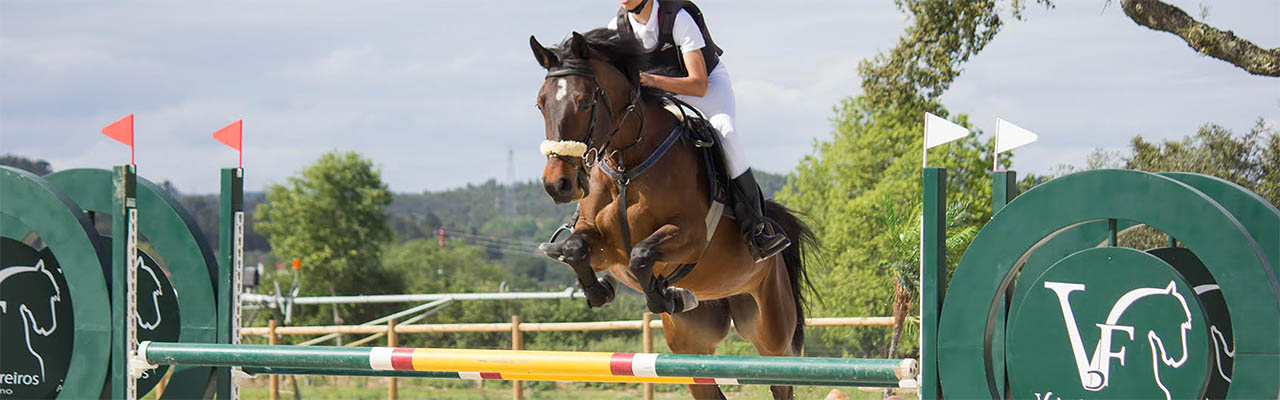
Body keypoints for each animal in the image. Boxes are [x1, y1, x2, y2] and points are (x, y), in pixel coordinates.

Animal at [532, 28, 819, 400]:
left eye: (584, 101)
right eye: (541, 103)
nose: (558, 185)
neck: (626, 165)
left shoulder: (691, 238)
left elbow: (642, 254)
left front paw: (665, 295)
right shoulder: (604, 248)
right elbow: (575, 248)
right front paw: (604, 292)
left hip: (770, 330)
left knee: (779, 377)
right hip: (693, 345)